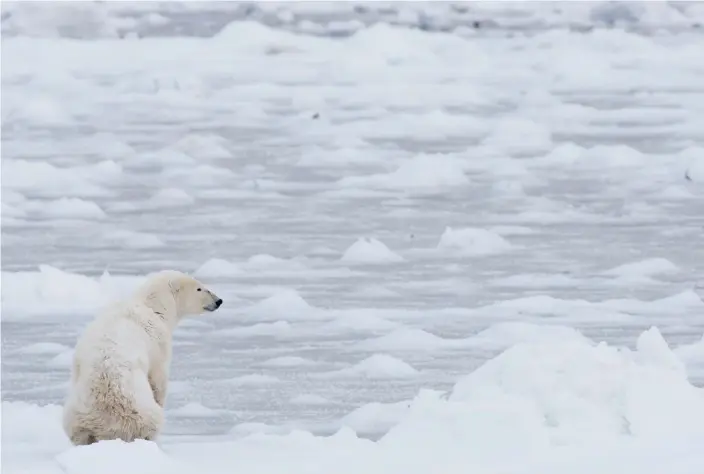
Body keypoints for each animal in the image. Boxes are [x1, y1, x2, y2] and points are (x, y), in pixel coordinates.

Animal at [63, 270, 224, 444]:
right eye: (199, 288)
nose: (218, 301)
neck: (152, 307)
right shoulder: (158, 343)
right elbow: (158, 378)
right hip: (140, 411)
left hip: (77, 414)